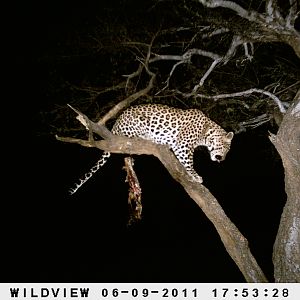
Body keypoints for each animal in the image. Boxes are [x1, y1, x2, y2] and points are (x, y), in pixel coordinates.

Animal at [69, 103, 233, 195]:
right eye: (226, 148)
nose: (223, 159)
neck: (206, 131)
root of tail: (115, 125)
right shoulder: (183, 145)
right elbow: (189, 162)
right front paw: (196, 176)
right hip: (138, 123)